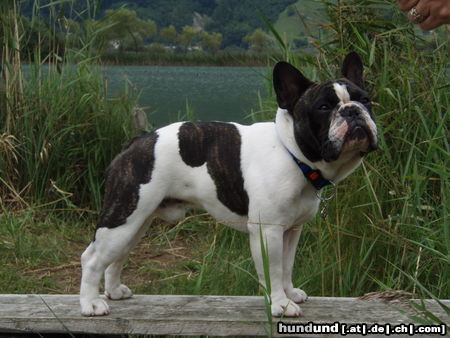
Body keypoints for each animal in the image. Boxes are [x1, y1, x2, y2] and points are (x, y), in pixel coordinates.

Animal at [80, 52, 376, 316]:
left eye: (366, 100)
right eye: (324, 107)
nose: (353, 111)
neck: (291, 154)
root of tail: (135, 142)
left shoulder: (291, 230)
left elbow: (287, 266)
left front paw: (290, 293)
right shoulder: (268, 231)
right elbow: (273, 270)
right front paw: (280, 304)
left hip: (137, 221)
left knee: (117, 256)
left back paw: (114, 291)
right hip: (123, 216)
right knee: (92, 259)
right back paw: (91, 304)